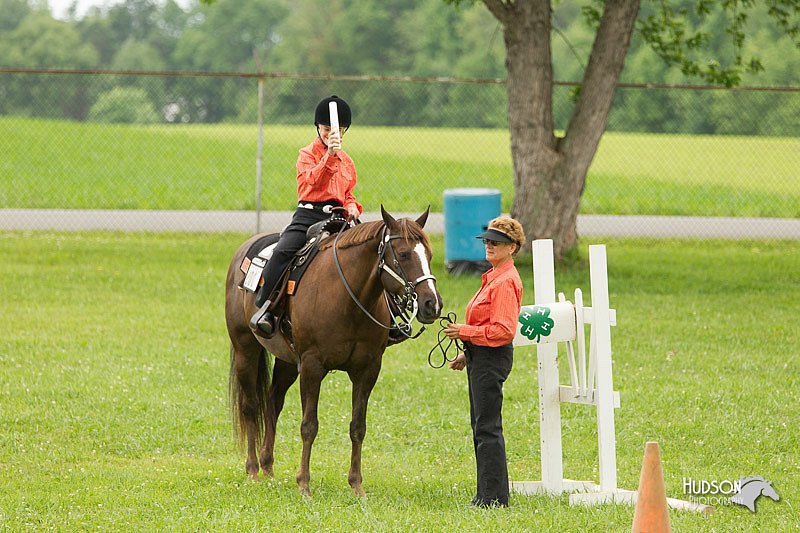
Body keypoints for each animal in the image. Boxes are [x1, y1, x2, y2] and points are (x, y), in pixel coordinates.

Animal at [223, 207, 444, 494]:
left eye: (429, 255)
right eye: (404, 254)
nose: (432, 304)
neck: (347, 299)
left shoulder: (367, 369)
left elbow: (358, 426)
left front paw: (356, 486)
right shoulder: (312, 366)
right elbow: (309, 425)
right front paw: (304, 484)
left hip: (287, 361)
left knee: (273, 402)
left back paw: (268, 467)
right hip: (245, 349)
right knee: (250, 406)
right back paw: (252, 470)